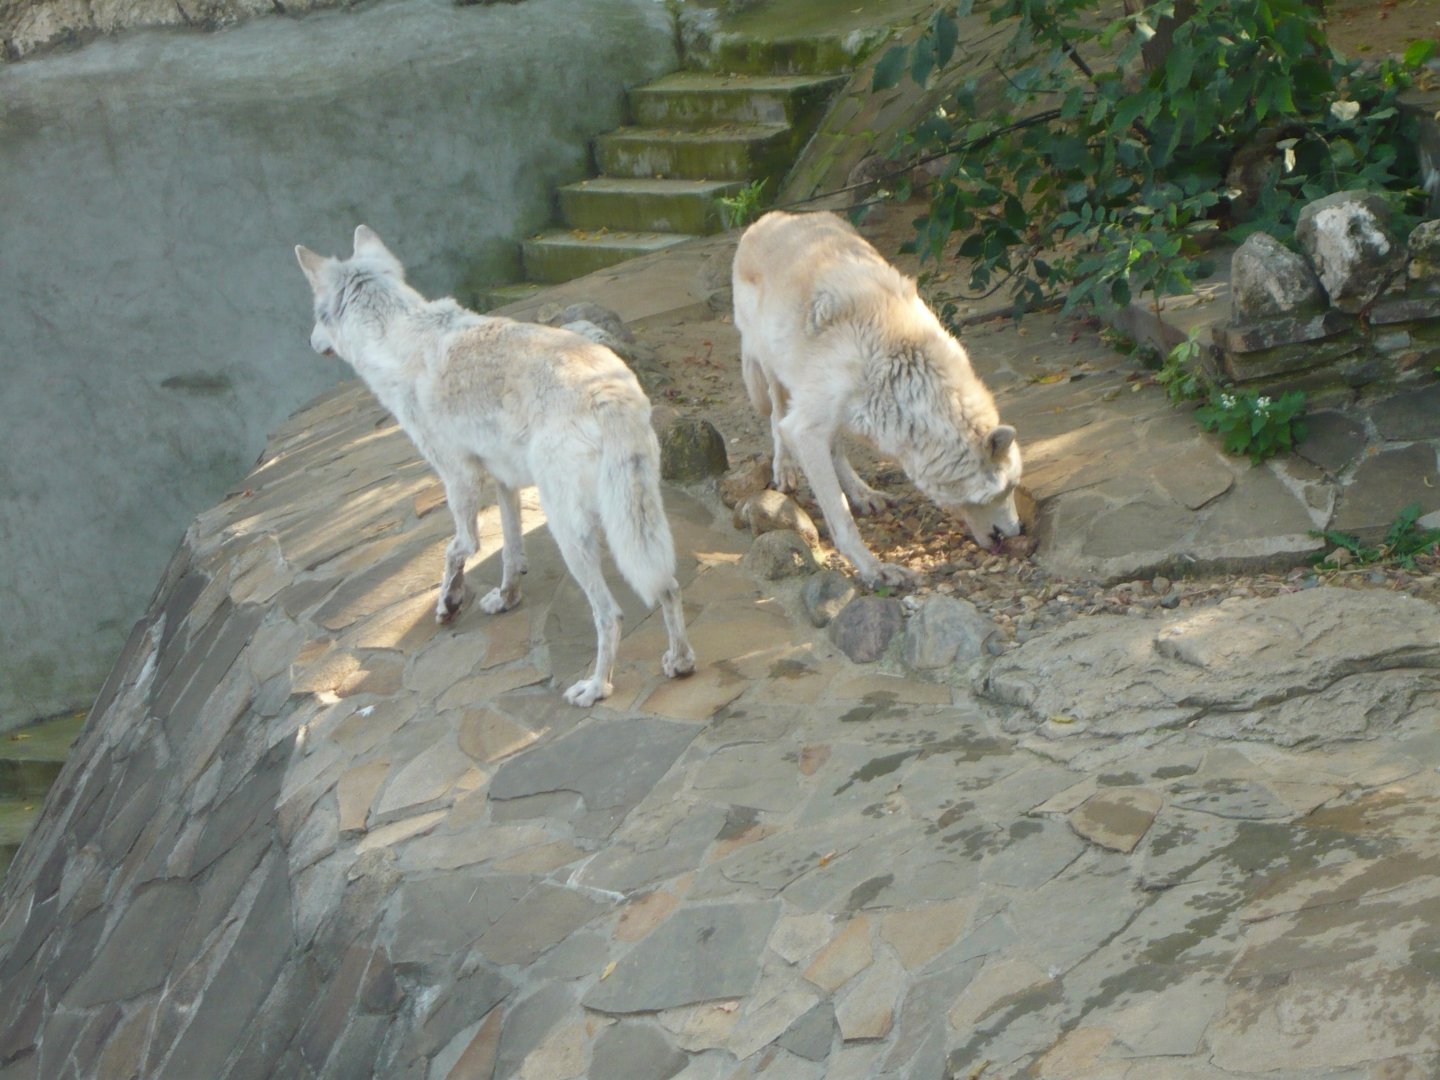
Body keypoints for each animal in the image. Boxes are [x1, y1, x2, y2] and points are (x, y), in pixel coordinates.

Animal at [295, 226, 695, 706]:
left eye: (317, 315)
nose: (310, 342)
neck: (398, 339)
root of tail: (608, 392)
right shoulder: (505, 482)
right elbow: (510, 551)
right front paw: (506, 598)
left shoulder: (459, 478)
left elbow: (459, 548)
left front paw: (448, 604)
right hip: (634, 520)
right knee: (668, 586)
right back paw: (680, 662)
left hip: (571, 532)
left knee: (610, 614)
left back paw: (596, 687)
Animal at [732, 209, 1023, 588]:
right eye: (1007, 489)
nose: (1019, 530)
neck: (901, 374)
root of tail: (770, 218)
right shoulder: (804, 428)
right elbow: (841, 519)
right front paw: (874, 569)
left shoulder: (832, 422)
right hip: (775, 372)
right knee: (775, 416)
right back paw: (785, 468)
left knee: (834, 449)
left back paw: (864, 494)